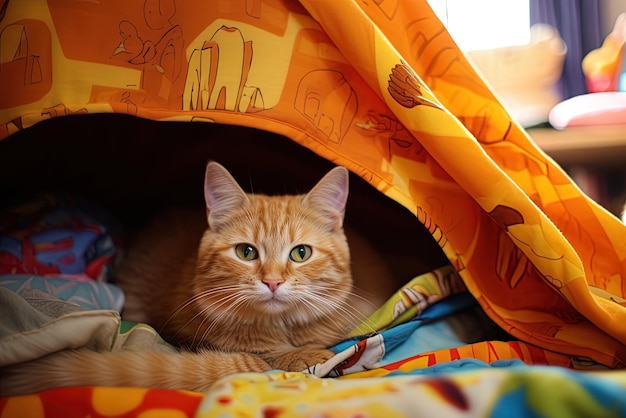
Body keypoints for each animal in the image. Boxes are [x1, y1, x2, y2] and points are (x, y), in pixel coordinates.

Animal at [0, 160, 390, 396]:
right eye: (246, 252)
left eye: (301, 253)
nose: (272, 282)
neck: (282, 329)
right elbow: (271, 356)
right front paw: (304, 355)